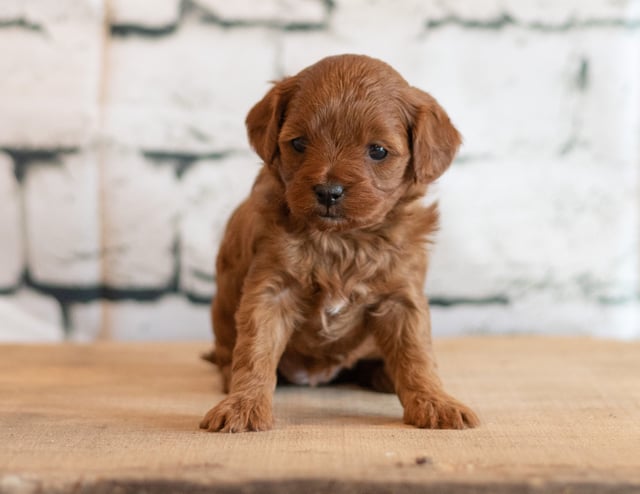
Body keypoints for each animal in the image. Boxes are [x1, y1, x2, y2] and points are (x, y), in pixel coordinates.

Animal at [202, 53, 478, 432]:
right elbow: (255, 350)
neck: (342, 240)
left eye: (378, 151)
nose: (328, 191)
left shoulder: (402, 297)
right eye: (299, 144)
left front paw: (435, 402)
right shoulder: (271, 287)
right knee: (228, 354)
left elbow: (416, 354)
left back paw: (384, 375)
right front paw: (243, 405)